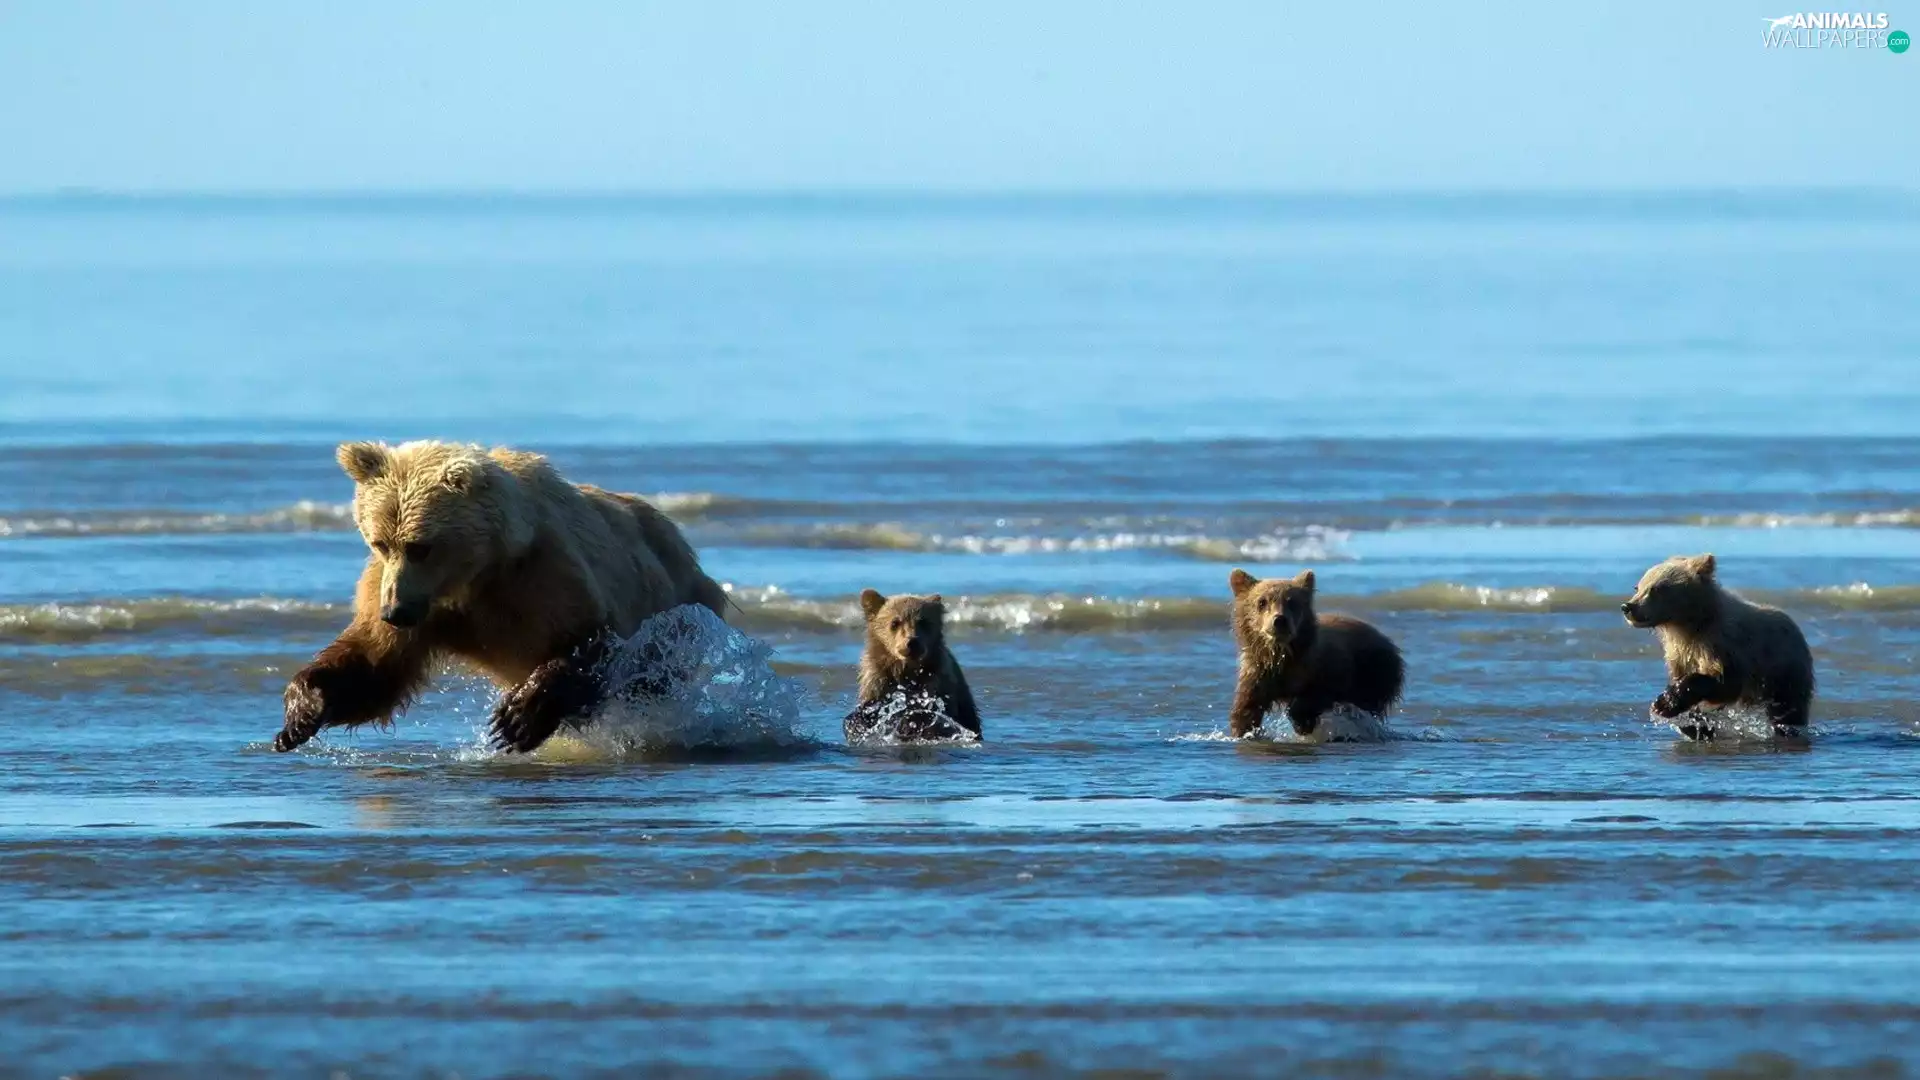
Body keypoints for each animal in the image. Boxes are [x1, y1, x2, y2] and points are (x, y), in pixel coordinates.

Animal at [273, 440, 728, 755]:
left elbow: (593, 639)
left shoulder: (543, 576)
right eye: (380, 542)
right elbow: (375, 667)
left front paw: (517, 718)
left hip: (677, 606)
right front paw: (301, 712)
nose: (395, 612)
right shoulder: (406, 597)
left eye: (421, 546)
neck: (476, 574)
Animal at [844, 589, 981, 742]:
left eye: (923, 622)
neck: (906, 671)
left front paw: (909, 722)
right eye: (895, 622)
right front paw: (857, 723)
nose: (912, 642)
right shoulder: (878, 680)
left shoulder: (938, 682)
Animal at [1228, 568, 1404, 739]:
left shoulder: (1323, 667)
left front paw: (1302, 722)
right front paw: (1243, 731)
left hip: (1375, 670)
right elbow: (1247, 707)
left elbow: (1320, 692)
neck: (1281, 655)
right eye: (1262, 601)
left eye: (1292, 602)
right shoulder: (1258, 673)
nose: (1279, 620)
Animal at [1620, 553, 1814, 739]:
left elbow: (1725, 683)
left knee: (1787, 708)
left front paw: (1665, 703)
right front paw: (1692, 723)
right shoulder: (1680, 654)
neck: (1691, 625)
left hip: (1785, 672)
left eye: (1656, 588)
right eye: (1637, 587)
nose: (1627, 606)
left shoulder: (1725, 646)